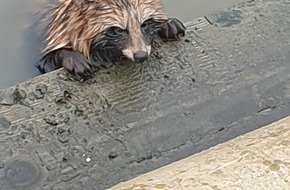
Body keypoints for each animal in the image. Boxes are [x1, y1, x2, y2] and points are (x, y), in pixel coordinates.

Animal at [36, 0, 186, 78]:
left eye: (144, 24)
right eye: (118, 30)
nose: (141, 56)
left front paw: (167, 23)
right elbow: (45, 64)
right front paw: (71, 56)